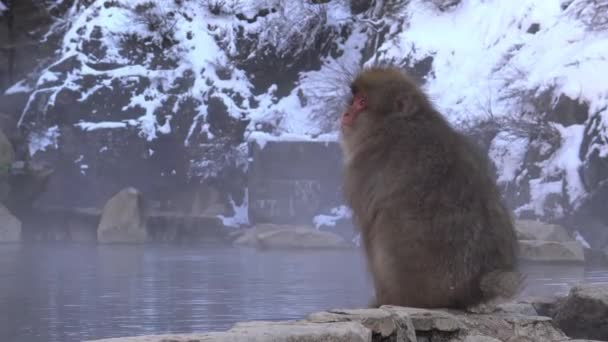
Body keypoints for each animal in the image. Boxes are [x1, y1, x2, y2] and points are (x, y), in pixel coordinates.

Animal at [340, 65, 520, 308]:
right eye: (354, 100)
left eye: (362, 102)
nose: (346, 113)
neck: (393, 126)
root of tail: (474, 287)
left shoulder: (365, 167)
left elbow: (369, 225)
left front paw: (379, 301)